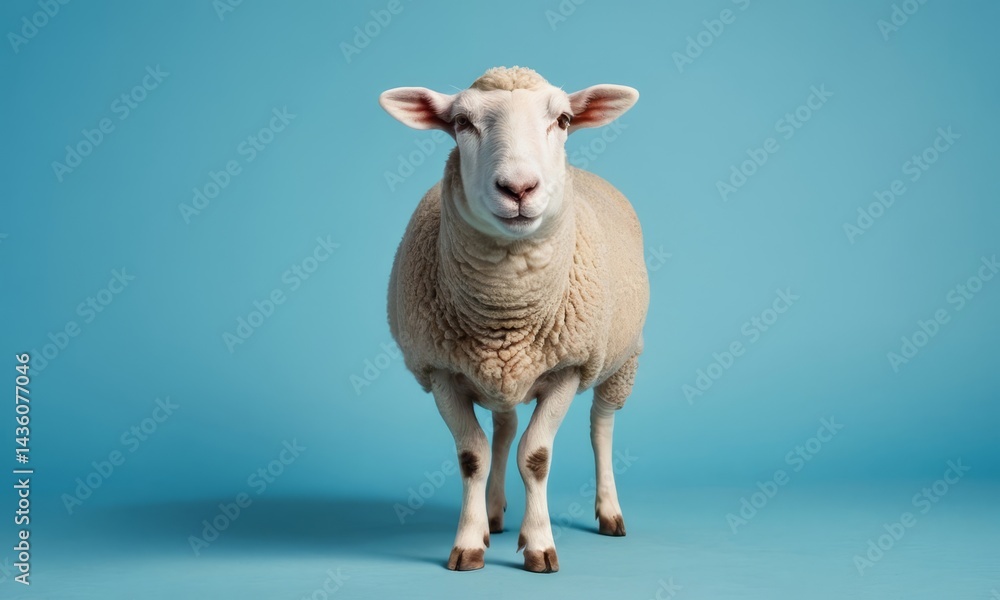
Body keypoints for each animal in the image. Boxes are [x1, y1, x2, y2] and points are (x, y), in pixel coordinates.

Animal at [379, 66, 648, 573]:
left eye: (563, 120)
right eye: (461, 123)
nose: (519, 189)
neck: (506, 307)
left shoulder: (567, 369)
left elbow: (536, 456)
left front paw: (540, 544)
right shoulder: (441, 371)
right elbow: (473, 456)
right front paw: (469, 543)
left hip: (622, 358)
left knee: (601, 426)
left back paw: (609, 511)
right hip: (497, 377)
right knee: (503, 430)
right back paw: (493, 512)